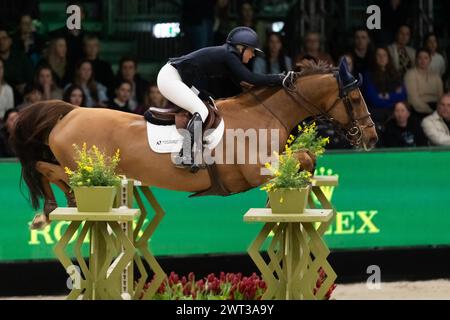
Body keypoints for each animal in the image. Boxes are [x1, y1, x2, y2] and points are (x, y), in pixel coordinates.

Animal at [9, 58, 376, 228]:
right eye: (356, 97)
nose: (372, 137)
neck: (264, 112)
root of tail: (70, 112)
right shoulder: (257, 169)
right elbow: (303, 159)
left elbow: (306, 160)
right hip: (85, 167)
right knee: (48, 169)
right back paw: (54, 208)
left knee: (46, 168)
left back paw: (57, 208)